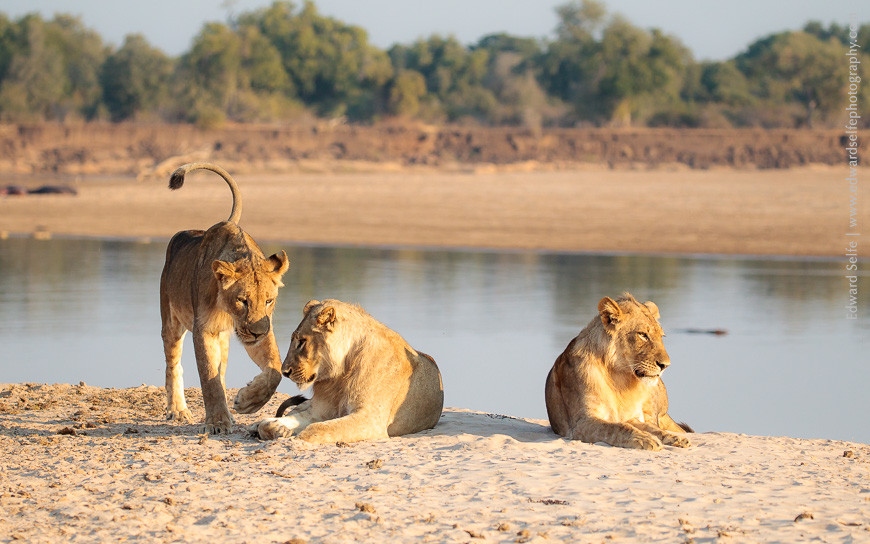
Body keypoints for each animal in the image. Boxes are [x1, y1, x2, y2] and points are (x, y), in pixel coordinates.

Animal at [160, 162, 289, 434]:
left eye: (269, 301)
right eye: (242, 300)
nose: (257, 333)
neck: (227, 310)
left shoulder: (262, 328)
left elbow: (274, 370)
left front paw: (247, 402)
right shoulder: (203, 329)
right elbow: (209, 377)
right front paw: (218, 422)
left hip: (224, 340)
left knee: (221, 370)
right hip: (171, 321)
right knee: (173, 363)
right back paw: (177, 409)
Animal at [252, 299, 444, 444]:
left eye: (302, 341)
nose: (284, 371)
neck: (341, 373)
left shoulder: (370, 419)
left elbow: (318, 428)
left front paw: (292, 435)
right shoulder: (319, 410)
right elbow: (287, 421)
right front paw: (277, 428)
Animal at [544, 293, 691, 450]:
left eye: (661, 336)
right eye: (643, 335)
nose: (665, 365)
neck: (619, 376)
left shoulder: (632, 416)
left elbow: (652, 428)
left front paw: (672, 437)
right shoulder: (582, 422)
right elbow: (618, 427)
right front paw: (644, 438)